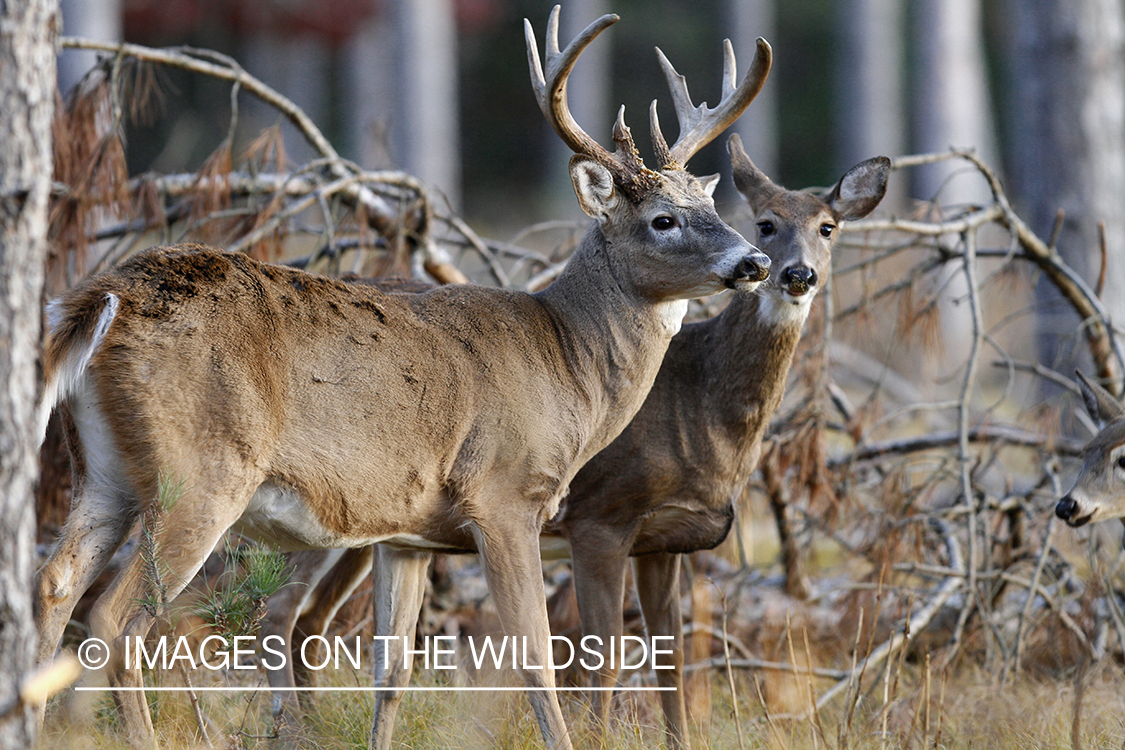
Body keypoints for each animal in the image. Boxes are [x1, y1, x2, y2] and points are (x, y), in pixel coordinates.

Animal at [33, 6, 772, 749]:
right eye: (662, 220)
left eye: (712, 209)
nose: (756, 262)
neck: (566, 362)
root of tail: (104, 298)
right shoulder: (505, 496)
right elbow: (536, 659)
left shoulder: (407, 536)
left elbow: (391, 674)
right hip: (201, 471)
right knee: (115, 617)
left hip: (105, 471)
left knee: (53, 586)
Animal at [256, 137, 891, 748]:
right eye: (764, 222)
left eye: (828, 227)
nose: (789, 273)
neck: (700, 406)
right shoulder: (601, 517)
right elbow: (602, 661)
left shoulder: (662, 541)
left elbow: (672, 662)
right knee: (280, 611)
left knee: (310, 620)